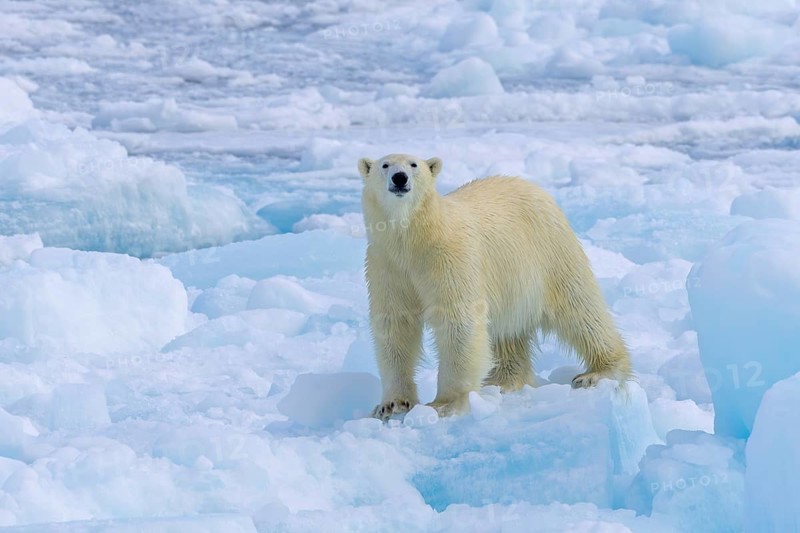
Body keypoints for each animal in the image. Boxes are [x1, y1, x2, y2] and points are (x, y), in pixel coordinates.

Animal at [358, 153, 631, 420]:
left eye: (414, 164)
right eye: (385, 165)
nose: (400, 178)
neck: (412, 240)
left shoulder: (449, 257)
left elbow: (458, 320)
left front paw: (446, 404)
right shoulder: (388, 266)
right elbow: (395, 324)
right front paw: (392, 405)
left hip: (551, 253)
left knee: (579, 309)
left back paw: (598, 372)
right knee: (507, 331)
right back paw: (502, 381)